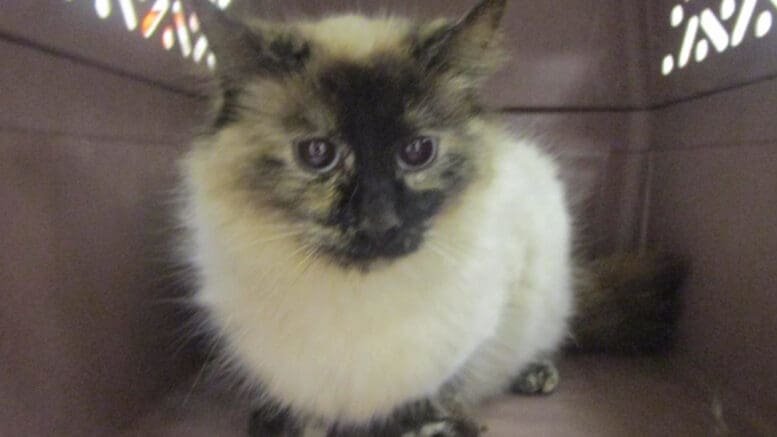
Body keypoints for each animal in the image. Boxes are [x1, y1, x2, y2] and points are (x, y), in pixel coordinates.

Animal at [179, 0, 684, 436]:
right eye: (318, 154)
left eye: (418, 151)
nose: (379, 222)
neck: (358, 293)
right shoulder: (291, 375)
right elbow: (302, 413)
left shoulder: (464, 342)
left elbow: (427, 396)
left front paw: (431, 428)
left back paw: (536, 375)